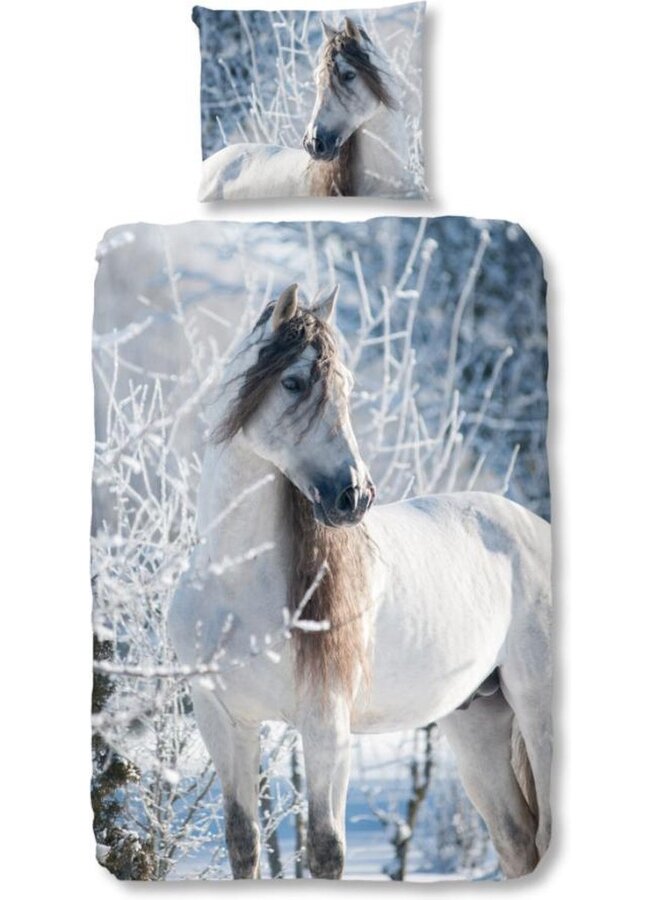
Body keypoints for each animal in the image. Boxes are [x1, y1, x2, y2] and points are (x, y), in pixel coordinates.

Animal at [167, 284, 553, 880]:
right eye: (293, 382)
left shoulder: (326, 724)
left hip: (539, 713)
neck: (235, 583)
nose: (355, 496)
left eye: (346, 386)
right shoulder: (224, 722)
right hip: (477, 723)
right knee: (517, 841)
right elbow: (243, 841)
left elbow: (326, 849)